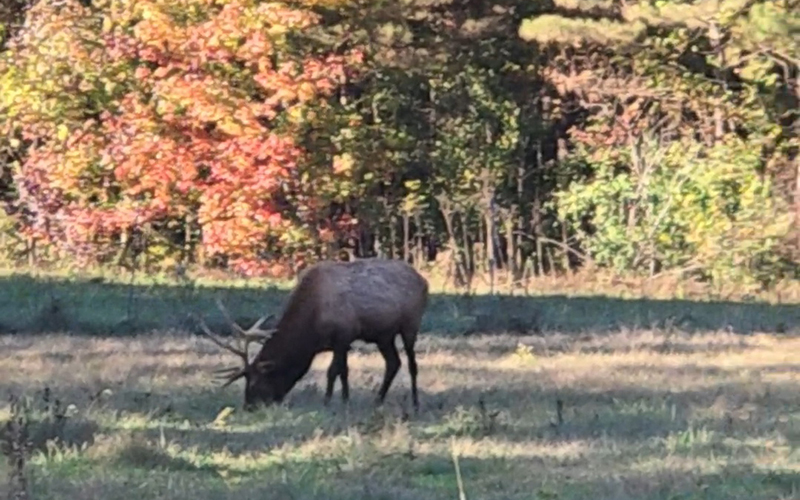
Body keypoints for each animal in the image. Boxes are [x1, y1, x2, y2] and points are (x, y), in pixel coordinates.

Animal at [194, 258, 429, 412]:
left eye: (255, 382)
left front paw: (329, 402)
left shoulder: (343, 334)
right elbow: (343, 371)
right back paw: (378, 400)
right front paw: (344, 400)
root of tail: (424, 281)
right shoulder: (342, 341)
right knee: (393, 363)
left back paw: (416, 402)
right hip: (383, 335)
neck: (312, 331)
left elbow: (334, 371)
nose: (248, 406)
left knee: (412, 364)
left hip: (411, 324)